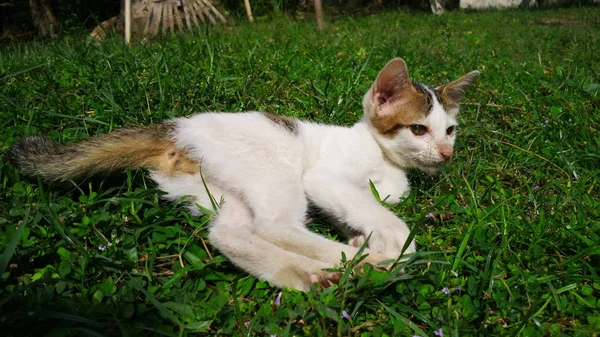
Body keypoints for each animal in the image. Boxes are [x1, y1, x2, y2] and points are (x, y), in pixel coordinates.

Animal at [7, 59, 480, 290]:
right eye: (418, 129)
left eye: (450, 130)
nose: (445, 153)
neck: (383, 157)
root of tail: (175, 127)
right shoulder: (325, 179)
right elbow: (384, 216)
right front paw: (393, 243)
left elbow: (373, 207)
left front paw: (364, 234)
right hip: (273, 169)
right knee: (274, 225)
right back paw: (368, 263)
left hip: (211, 189)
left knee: (230, 234)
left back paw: (304, 274)